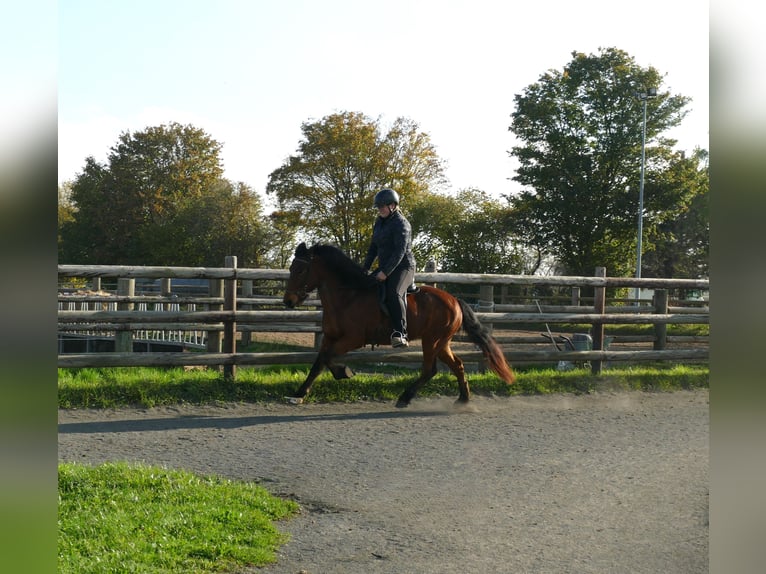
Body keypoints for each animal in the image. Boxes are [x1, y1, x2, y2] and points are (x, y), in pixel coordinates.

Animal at [282, 243, 516, 410]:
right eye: (292, 268)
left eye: (301, 270)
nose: (288, 301)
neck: (348, 296)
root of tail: (454, 300)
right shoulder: (331, 337)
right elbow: (319, 362)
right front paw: (299, 394)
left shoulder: (353, 339)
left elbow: (328, 357)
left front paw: (344, 372)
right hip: (441, 342)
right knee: (457, 365)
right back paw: (463, 400)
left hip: (432, 340)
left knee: (430, 369)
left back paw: (405, 397)